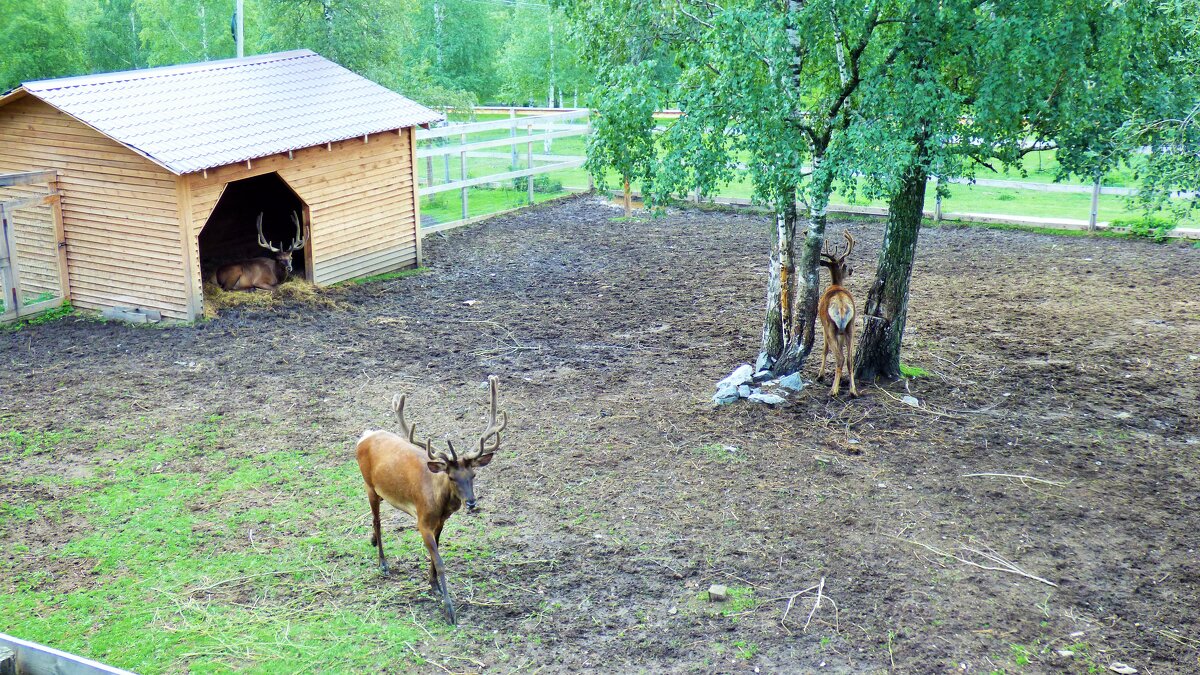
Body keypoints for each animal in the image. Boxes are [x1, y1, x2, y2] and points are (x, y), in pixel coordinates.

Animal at [355, 374, 506, 624]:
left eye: (473, 475)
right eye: (452, 477)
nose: (472, 502)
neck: (439, 502)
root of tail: (364, 436)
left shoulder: (440, 522)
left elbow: (436, 555)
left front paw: (433, 584)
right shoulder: (422, 521)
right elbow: (440, 561)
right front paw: (449, 610)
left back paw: (372, 541)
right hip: (369, 485)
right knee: (377, 521)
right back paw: (383, 563)